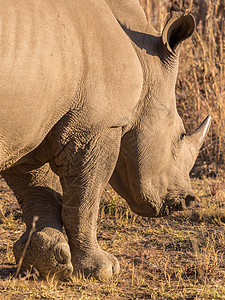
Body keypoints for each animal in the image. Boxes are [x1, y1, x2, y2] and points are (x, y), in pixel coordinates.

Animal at [0, 0, 211, 280]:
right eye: (180, 135)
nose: (188, 201)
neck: (144, 61)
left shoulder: (29, 124)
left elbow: (36, 189)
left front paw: (45, 264)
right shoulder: (97, 126)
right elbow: (86, 198)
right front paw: (102, 269)